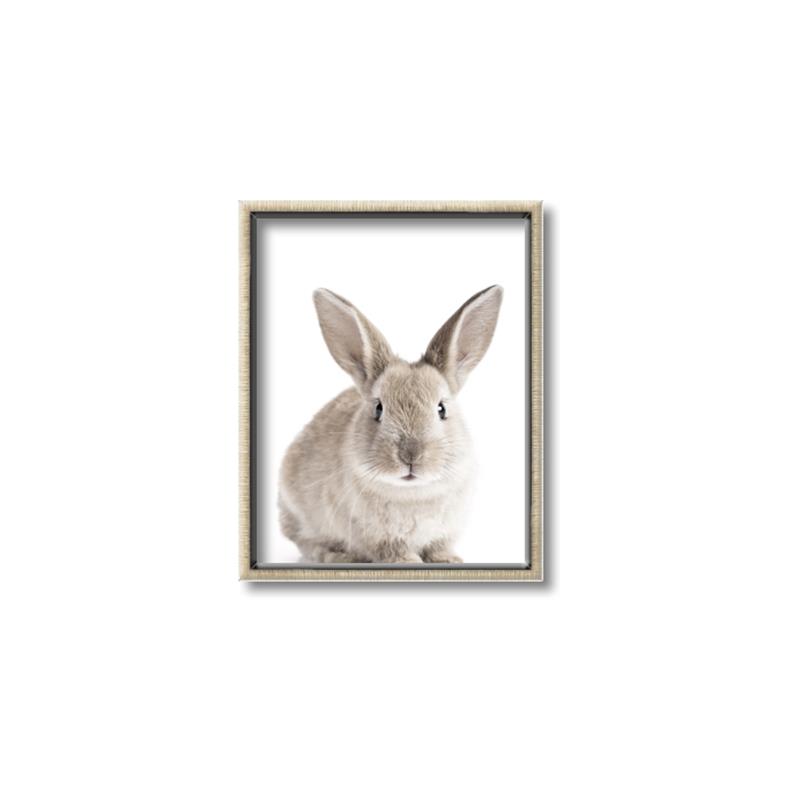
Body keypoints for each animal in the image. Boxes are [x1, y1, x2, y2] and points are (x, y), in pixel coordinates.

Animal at [278, 284, 503, 564]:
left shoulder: (444, 533)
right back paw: (337, 556)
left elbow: (438, 547)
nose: (410, 455)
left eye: (441, 409)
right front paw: (409, 562)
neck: (413, 494)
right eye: (378, 408)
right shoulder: (376, 537)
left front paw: (449, 560)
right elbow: (392, 551)